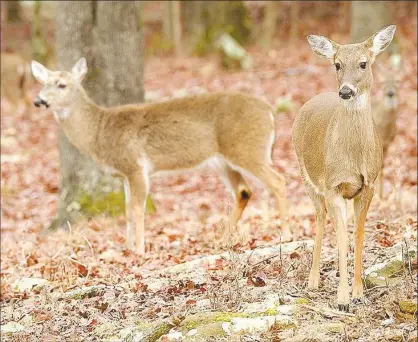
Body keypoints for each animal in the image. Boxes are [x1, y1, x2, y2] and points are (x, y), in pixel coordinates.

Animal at [31, 58, 290, 255]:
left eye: (62, 84)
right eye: (42, 83)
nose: (38, 100)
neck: (100, 131)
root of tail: (270, 113)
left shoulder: (136, 166)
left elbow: (137, 209)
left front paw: (139, 250)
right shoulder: (124, 174)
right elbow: (127, 210)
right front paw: (127, 247)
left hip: (247, 149)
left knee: (278, 181)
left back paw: (286, 234)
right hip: (225, 161)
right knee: (243, 192)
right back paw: (221, 239)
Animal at [292, 25, 396, 312]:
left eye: (363, 63)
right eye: (337, 64)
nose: (346, 91)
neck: (353, 156)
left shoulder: (368, 185)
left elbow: (358, 235)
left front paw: (358, 293)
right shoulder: (332, 187)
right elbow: (341, 238)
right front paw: (342, 299)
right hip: (307, 177)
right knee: (319, 218)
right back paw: (313, 281)